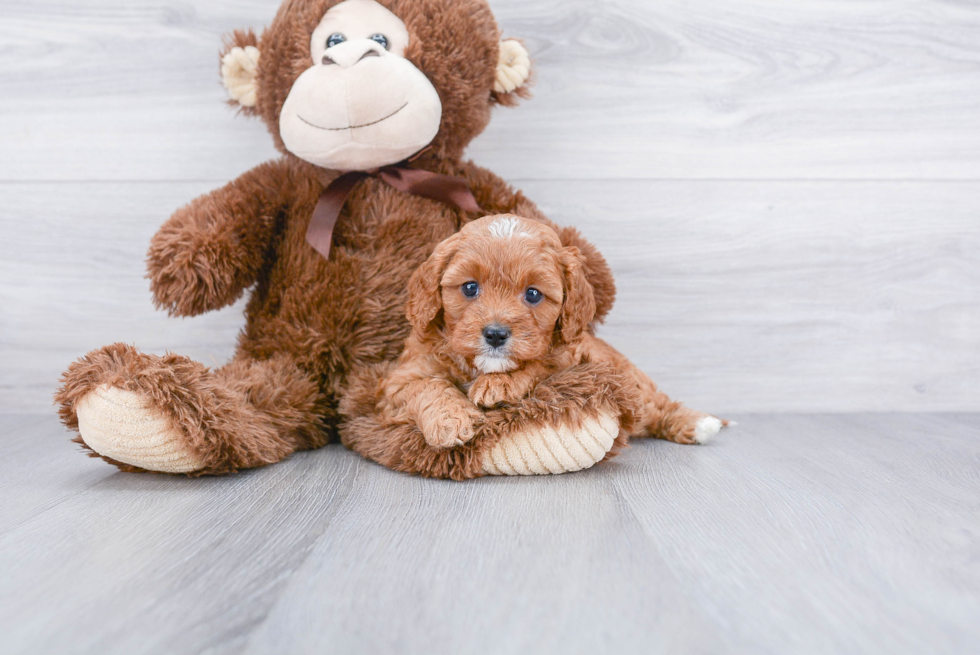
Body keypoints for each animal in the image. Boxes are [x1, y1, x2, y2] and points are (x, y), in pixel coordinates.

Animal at [378, 215, 724, 452]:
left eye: (533, 294)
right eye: (469, 287)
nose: (495, 334)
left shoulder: (570, 358)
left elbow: (539, 365)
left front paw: (500, 384)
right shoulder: (399, 382)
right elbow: (428, 386)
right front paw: (449, 421)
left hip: (631, 383)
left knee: (656, 405)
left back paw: (699, 424)